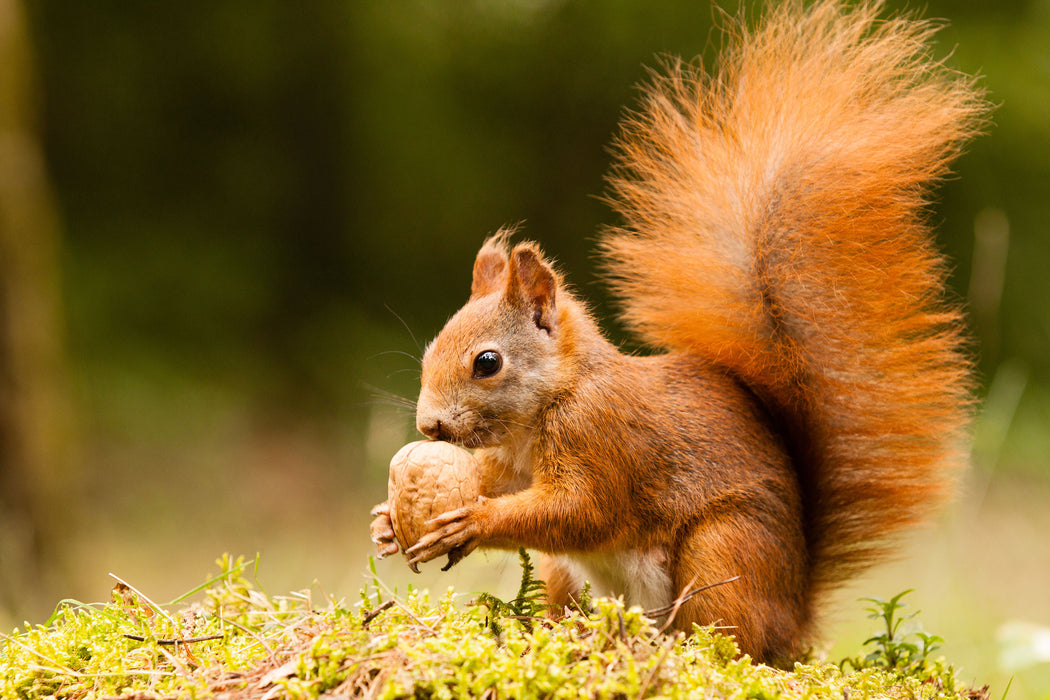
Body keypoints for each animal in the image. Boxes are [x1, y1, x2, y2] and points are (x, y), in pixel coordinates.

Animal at [367, 0, 982, 667]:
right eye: (430, 350)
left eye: (487, 362)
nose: (429, 426)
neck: (550, 403)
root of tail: (795, 619)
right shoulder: (509, 464)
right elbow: (498, 484)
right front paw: (386, 519)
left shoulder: (602, 437)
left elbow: (581, 511)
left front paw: (474, 522)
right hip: (572, 576)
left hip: (725, 552)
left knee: (726, 636)